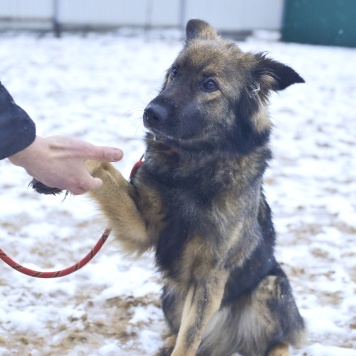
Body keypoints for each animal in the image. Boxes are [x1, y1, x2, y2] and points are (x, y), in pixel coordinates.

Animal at [32, 19, 306, 356]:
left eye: (209, 85)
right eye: (175, 73)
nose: (150, 113)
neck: (191, 167)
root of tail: (224, 345)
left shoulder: (209, 277)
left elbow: (189, 340)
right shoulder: (143, 228)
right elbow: (105, 167)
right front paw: (58, 167)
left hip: (270, 288)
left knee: (279, 339)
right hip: (171, 293)